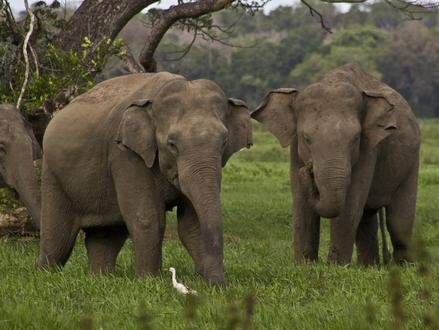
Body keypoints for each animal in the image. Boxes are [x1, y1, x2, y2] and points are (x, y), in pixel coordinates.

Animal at [39, 73, 253, 286]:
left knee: (106, 236)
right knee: (58, 238)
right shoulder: (125, 155)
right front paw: (150, 281)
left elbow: (192, 224)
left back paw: (100, 278)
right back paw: (45, 275)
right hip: (52, 176)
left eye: (224, 142)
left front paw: (206, 281)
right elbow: (148, 217)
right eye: (172, 144)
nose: (223, 284)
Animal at [251, 63, 420, 266]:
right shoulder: (295, 149)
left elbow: (349, 205)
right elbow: (301, 205)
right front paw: (304, 265)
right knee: (367, 217)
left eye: (355, 139)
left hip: (412, 162)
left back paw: (404, 267)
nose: (306, 171)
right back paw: (368, 267)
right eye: (306, 139)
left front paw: (336, 267)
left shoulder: (368, 149)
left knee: (397, 221)